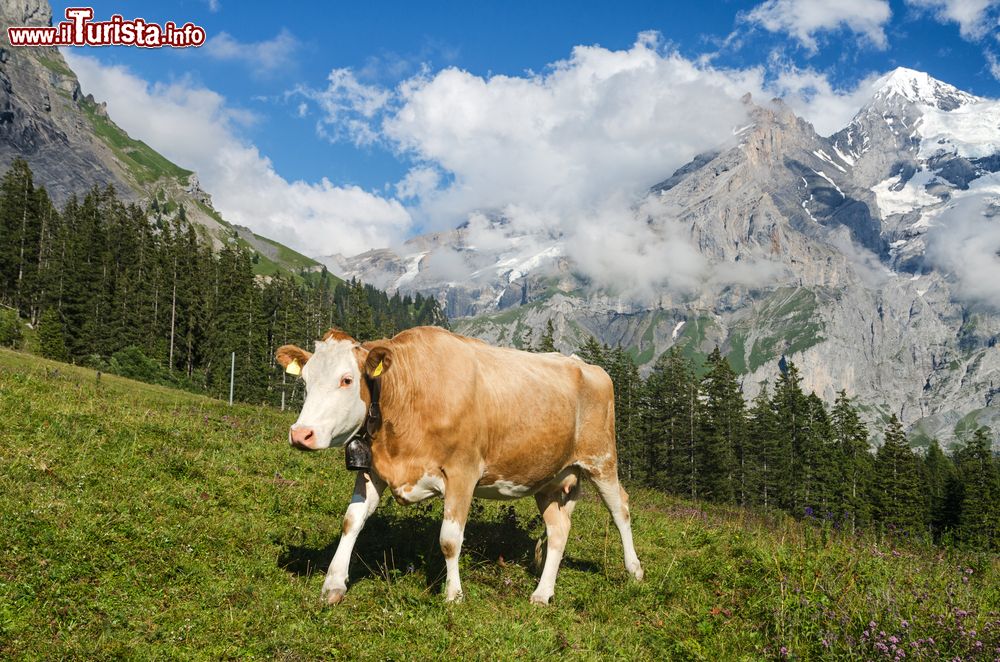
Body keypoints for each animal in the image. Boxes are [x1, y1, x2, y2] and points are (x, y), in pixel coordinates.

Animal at [278, 326, 644, 608]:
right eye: (306, 379)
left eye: (347, 380)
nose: (301, 434)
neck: (410, 392)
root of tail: (586, 364)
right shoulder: (373, 469)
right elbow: (351, 522)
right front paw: (333, 584)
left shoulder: (462, 473)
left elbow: (450, 539)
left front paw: (453, 595)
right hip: (548, 476)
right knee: (559, 529)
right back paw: (542, 593)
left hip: (601, 459)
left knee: (620, 509)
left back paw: (634, 571)